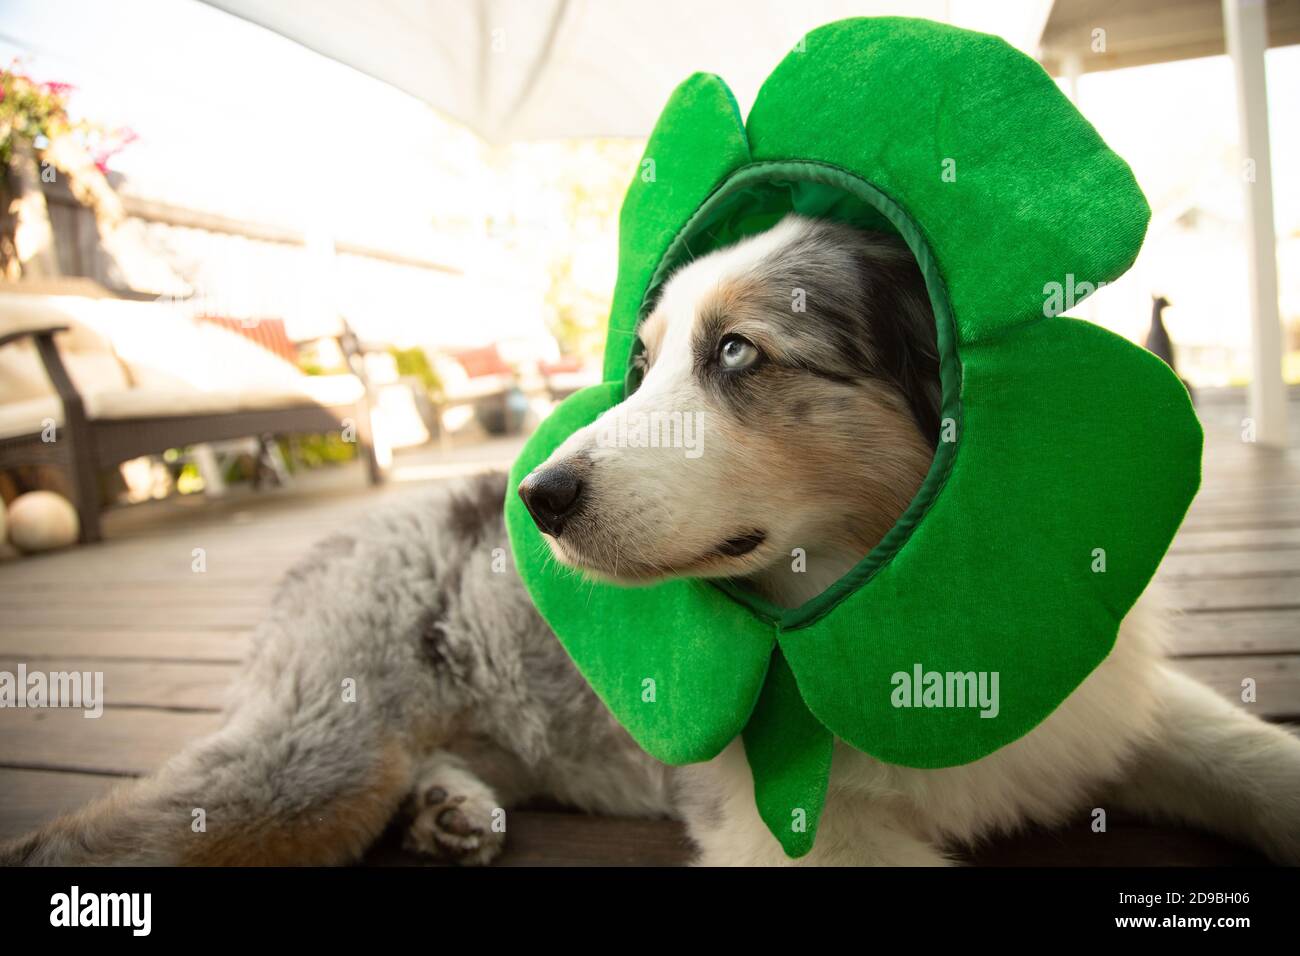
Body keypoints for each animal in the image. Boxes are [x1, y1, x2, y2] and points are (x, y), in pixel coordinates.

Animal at [7, 214, 1300, 868]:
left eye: (735, 352)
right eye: (642, 362)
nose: (537, 496)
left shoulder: (1107, 702)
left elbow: (1249, 755)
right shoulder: (801, 837)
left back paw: (448, 810)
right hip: (313, 758)